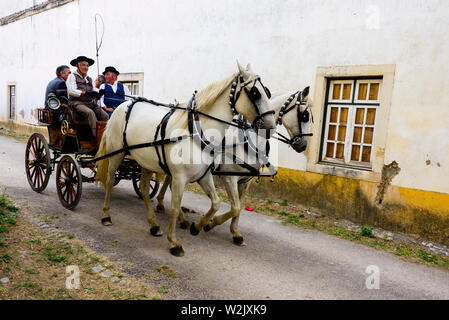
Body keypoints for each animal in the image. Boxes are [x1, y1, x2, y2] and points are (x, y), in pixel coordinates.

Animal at [96, 63, 274, 258]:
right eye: (255, 92)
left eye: (267, 91)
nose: (271, 125)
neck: (197, 132)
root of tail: (124, 105)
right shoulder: (182, 177)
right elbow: (175, 207)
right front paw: (174, 242)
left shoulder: (204, 176)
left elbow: (218, 203)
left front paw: (199, 226)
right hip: (116, 154)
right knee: (110, 180)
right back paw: (106, 216)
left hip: (146, 162)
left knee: (143, 188)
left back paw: (154, 225)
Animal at [157, 86, 312, 244]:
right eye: (305, 115)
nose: (303, 145)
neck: (248, 139)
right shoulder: (230, 178)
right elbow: (235, 207)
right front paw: (209, 223)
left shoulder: (245, 181)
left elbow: (240, 207)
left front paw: (235, 232)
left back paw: (166, 207)